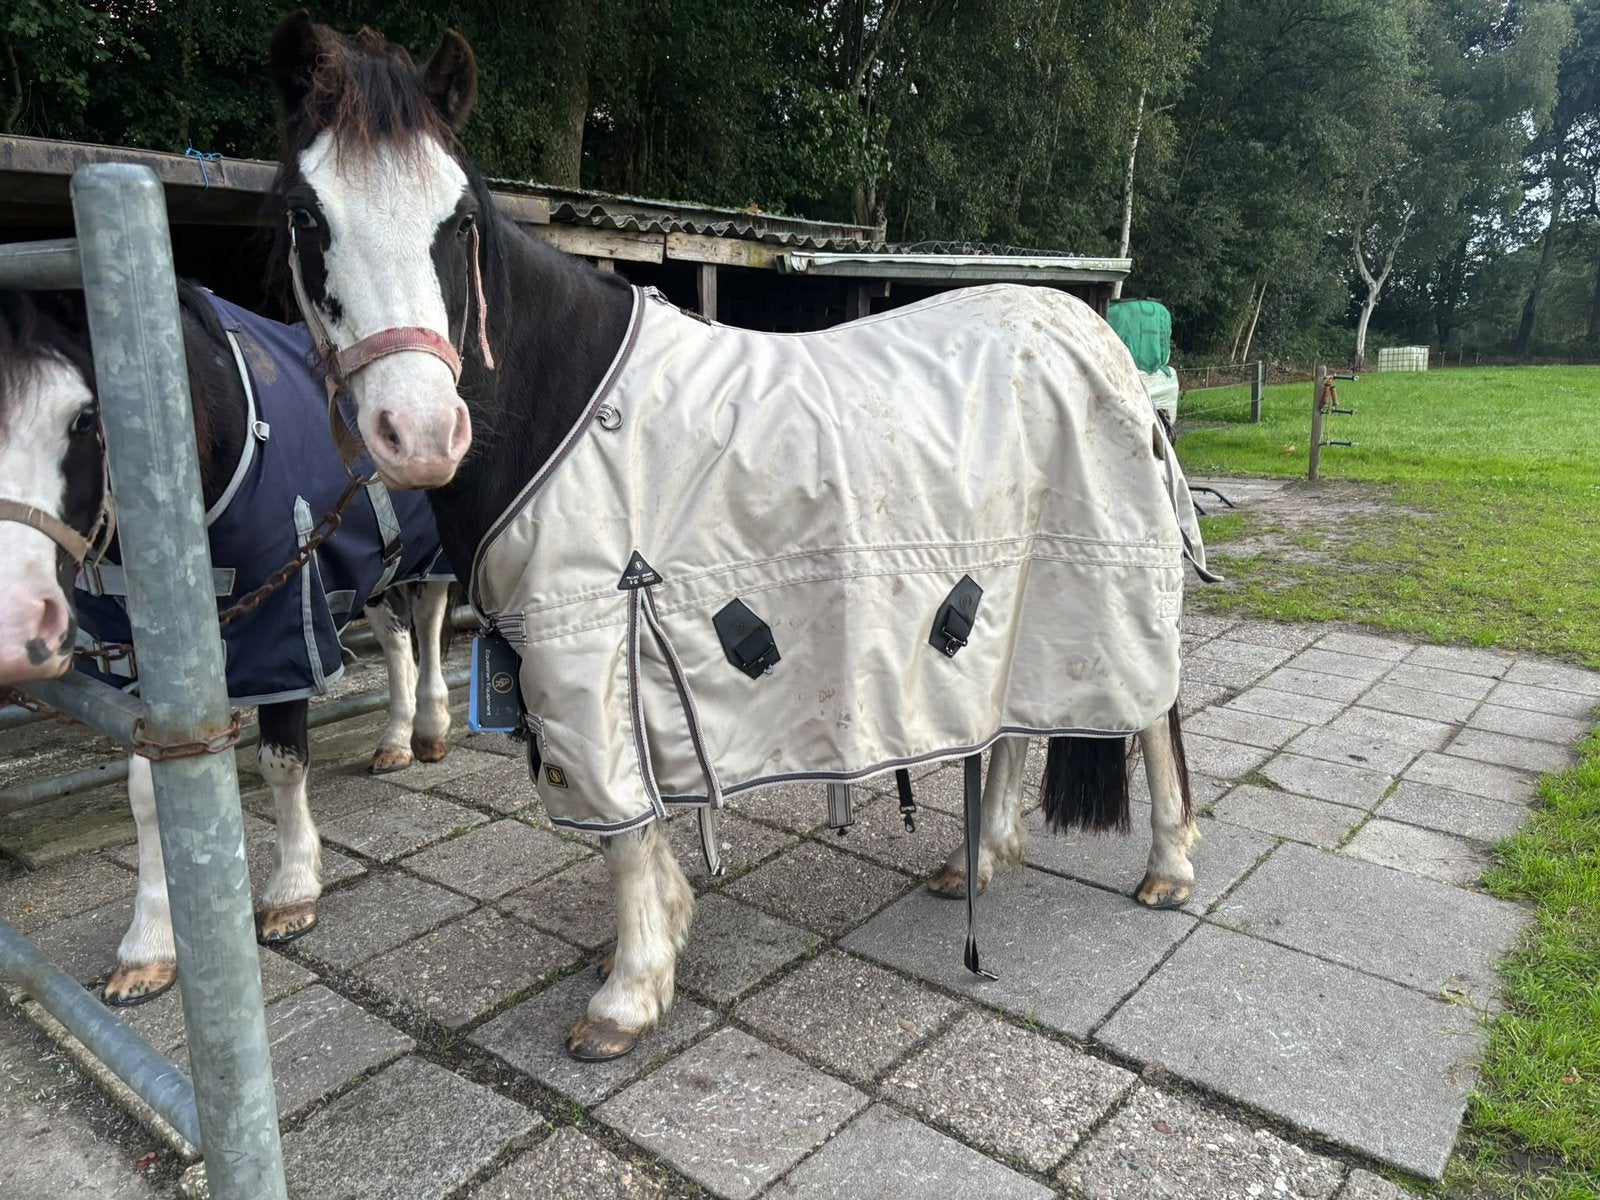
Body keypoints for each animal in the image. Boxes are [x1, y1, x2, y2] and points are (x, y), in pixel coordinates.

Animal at [0, 285, 454, 1006]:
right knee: (395, 638)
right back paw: (394, 742)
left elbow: (282, 761)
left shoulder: (286, 624)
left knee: (431, 625)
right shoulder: (143, 662)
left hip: (427, 554)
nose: (14, 625)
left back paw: (433, 729)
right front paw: (149, 946)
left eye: (82, 418)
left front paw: (292, 890)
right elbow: (147, 792)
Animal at [264, 13, 1208, 1062]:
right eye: (306, 216)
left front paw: (630, 993)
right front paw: (652, 947)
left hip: (1109, 580)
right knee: (1010, 726)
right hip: (1015, 590)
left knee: (1153, 719)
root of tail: (1103, 342)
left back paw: (1168, 868)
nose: (421, 434)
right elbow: (636, 827)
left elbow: (622, 830)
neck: (565, 402)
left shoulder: (591, 652)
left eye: (460, 219)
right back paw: (983, 861)